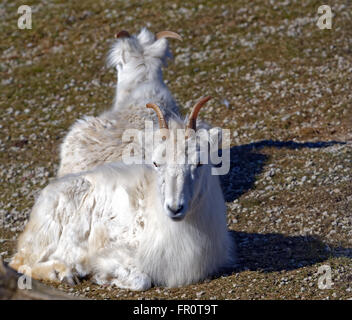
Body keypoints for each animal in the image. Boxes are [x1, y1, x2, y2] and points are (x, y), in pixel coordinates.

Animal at [11, 99, 235, 288]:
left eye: (199, 162)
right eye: (156, 163)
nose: (174, 208)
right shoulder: (115, 253)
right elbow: (141, 280)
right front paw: (101, 277)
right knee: (20, 263)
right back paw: (64, 273)